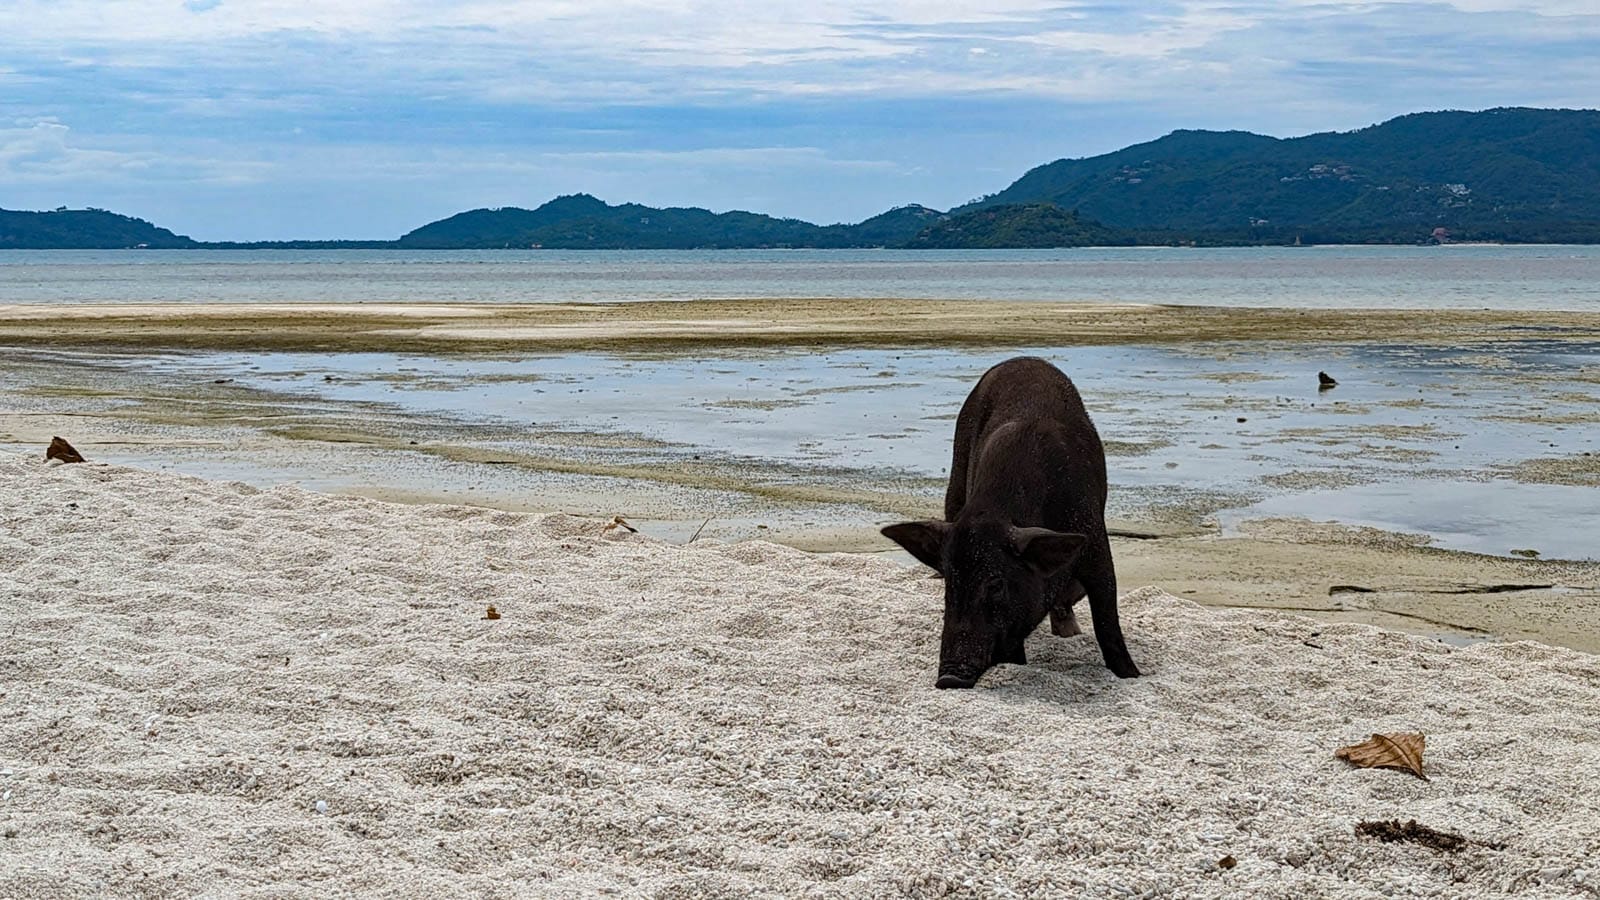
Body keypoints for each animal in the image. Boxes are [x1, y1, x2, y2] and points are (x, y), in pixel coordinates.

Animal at [882, 357, 1140, 688]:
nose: (948, 678)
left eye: (996, 584)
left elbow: (1108, 618)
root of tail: (1019, 360)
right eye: (950, 581)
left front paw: (1132, 674)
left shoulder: (1094, 539)